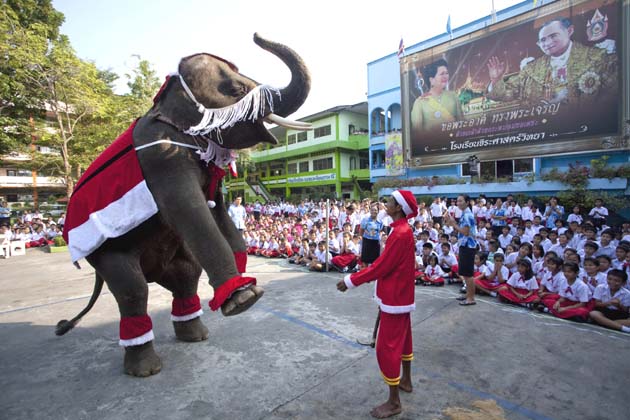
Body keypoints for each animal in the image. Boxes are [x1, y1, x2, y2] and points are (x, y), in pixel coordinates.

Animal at [55, 33, 312, 378]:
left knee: (186, 274)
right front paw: (245, 298)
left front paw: (243, 273)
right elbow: (192, 210)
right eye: (237, 90)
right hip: (105, 253)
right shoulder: (161, 156)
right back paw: (146, 369)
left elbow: (216, 208)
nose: (256, 35)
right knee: (133, 288)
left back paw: (195, 336)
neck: (166, 104)